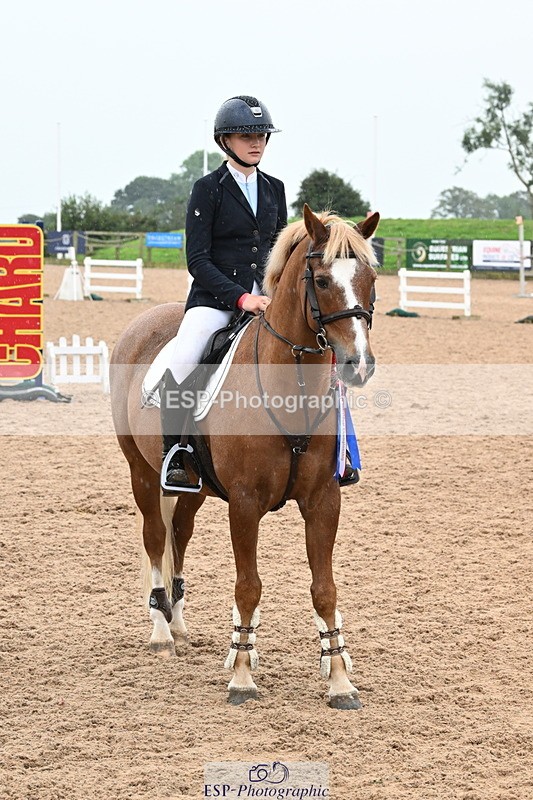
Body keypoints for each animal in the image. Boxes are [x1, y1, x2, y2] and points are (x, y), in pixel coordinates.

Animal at [110, 204, 379, 709]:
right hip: (142, 473)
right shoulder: (245, 502)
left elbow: (325, 590)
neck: (292, 390)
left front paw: (338, 680)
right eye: (321, 280)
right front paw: (241, 675)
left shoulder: (323, 501)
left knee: (179, 534)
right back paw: (161, 632)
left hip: (193, 489)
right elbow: (248, 586)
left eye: (370, 277)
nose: (359, 364)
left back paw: (178, 623)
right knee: (156, 538)